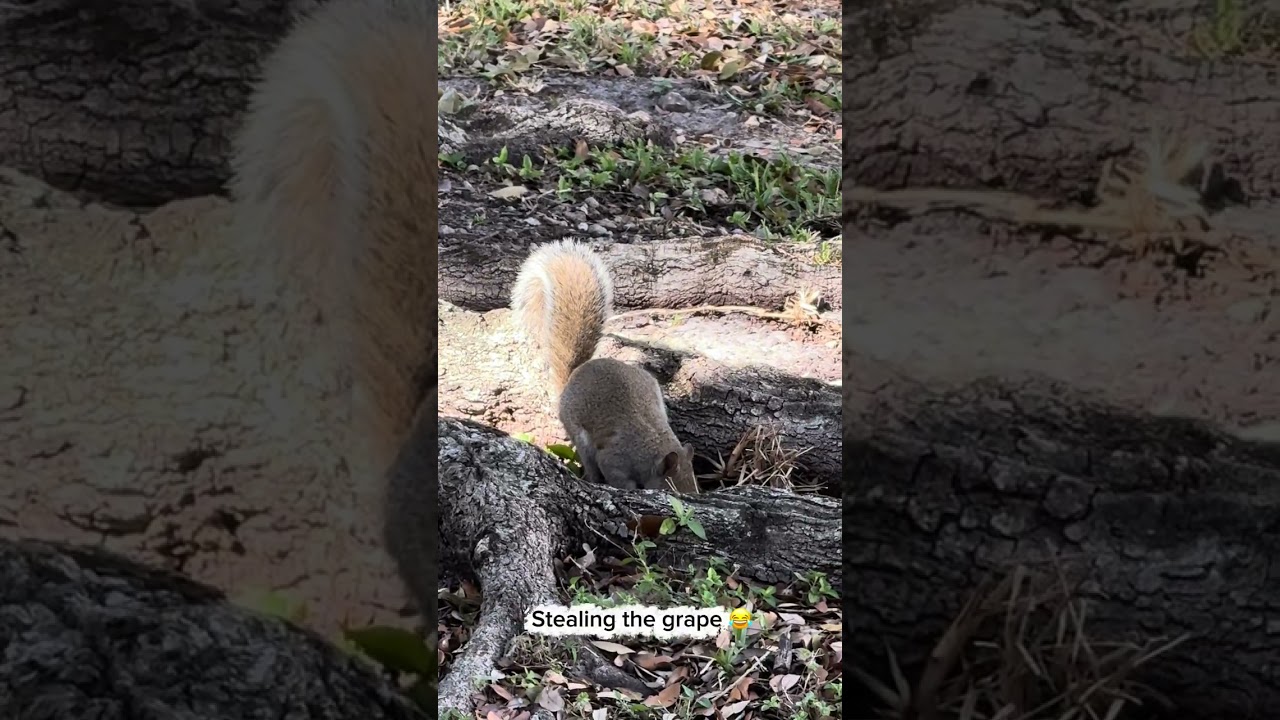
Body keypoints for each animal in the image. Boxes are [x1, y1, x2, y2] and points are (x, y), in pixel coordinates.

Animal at [511, 240, 699, 494]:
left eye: (696, 486)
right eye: (670, 488)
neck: (651, 446)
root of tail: (575, 374)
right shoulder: (614, 458)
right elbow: (616, 475)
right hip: (578, 434)